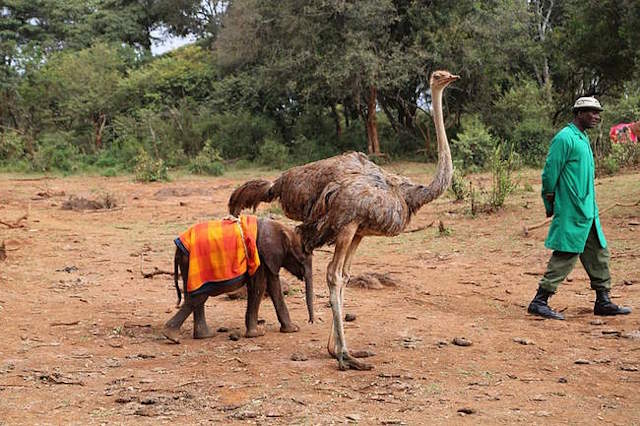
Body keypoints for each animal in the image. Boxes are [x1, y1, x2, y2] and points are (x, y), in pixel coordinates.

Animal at [162, 217, 313, 343]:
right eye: (303, 257)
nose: (310, 321)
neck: (278, 227)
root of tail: (178, 248)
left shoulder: (269, 258)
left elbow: (274, 286)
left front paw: (292, 329)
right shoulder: (259, 255)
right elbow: (259, 287)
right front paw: (256, 334)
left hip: (186, 264)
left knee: (196, 297)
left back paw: (203, 336)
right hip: (192, 263)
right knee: (198, 296)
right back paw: (171, 336)